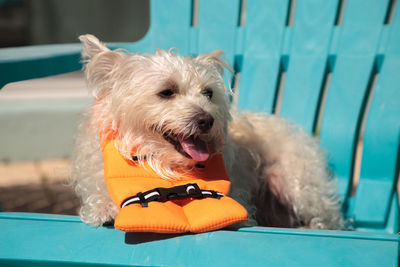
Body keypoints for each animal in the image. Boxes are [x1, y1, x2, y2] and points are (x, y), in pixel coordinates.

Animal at [72, 33, 346, 230]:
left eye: (208, 93)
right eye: (166, 92)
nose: (207, 120)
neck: (164, 165)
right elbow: (98, 194)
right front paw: (104, 208)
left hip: (299, 186)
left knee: (329, 216)